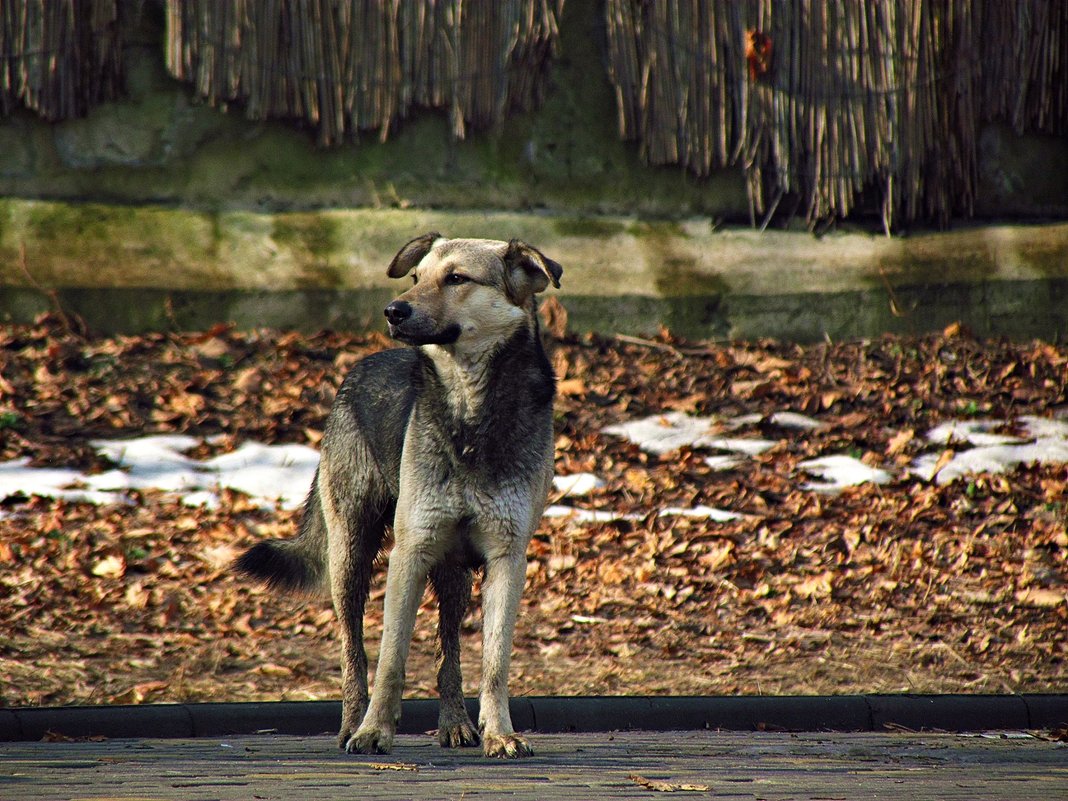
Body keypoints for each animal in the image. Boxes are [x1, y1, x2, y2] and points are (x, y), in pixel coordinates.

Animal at [234, 231, 563, 760]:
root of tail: (357, 368)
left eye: (456, 278)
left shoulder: (506, 558)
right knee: (353, 652)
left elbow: (494, 664)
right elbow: (390, 658)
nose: (393, 310)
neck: (470, 410)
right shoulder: (409, 554)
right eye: (415, 276)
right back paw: (351, 724)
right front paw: (373, 732)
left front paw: (500, 734)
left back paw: (455, 723)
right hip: (351, 559)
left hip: (454, 574)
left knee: (449, 652)